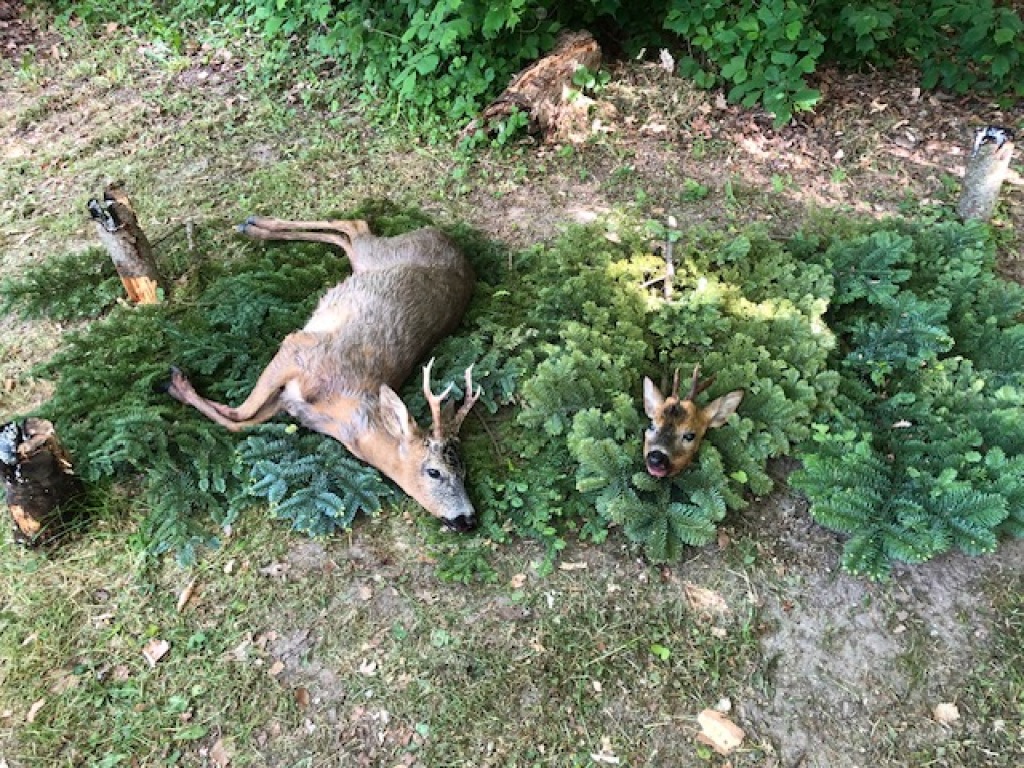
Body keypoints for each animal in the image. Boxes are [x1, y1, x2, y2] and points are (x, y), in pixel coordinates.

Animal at [166, 215, 481, 532]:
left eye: (464, 471)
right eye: (434, 471)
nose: (468, 520)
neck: (338, 411)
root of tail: (447, 239)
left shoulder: (287, 399)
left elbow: (239, 421)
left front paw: (182, 388)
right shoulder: (298, 350)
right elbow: (240, 414)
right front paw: (177, 383)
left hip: (367, 260)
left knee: (350, 233)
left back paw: (256, 227)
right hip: (376, 253)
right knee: (355, 226)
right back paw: (252, 225)